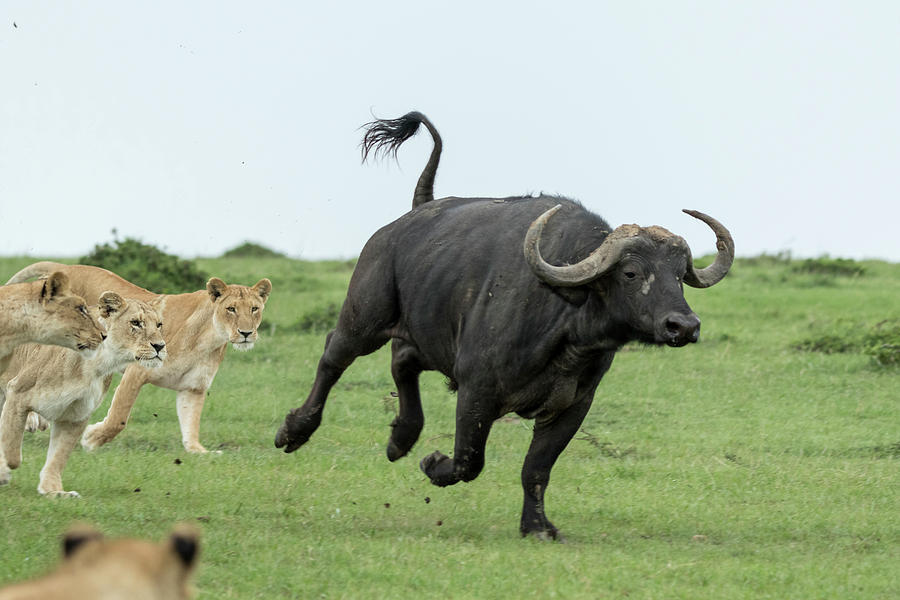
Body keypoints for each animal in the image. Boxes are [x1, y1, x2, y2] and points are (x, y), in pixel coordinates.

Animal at [278, 110, 736, 540]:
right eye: (631, 273)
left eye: (679, 274)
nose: (683, 326)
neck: (565, 326)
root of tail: (406, 221)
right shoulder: (476, 390)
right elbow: (468, 460)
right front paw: (433, 462)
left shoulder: (572, 407)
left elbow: (536, 469)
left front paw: (537, 526)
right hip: (364, 317)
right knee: (333, 357)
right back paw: (294, 430)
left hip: (425, 334)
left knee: (402, 361)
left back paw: (400, 439)